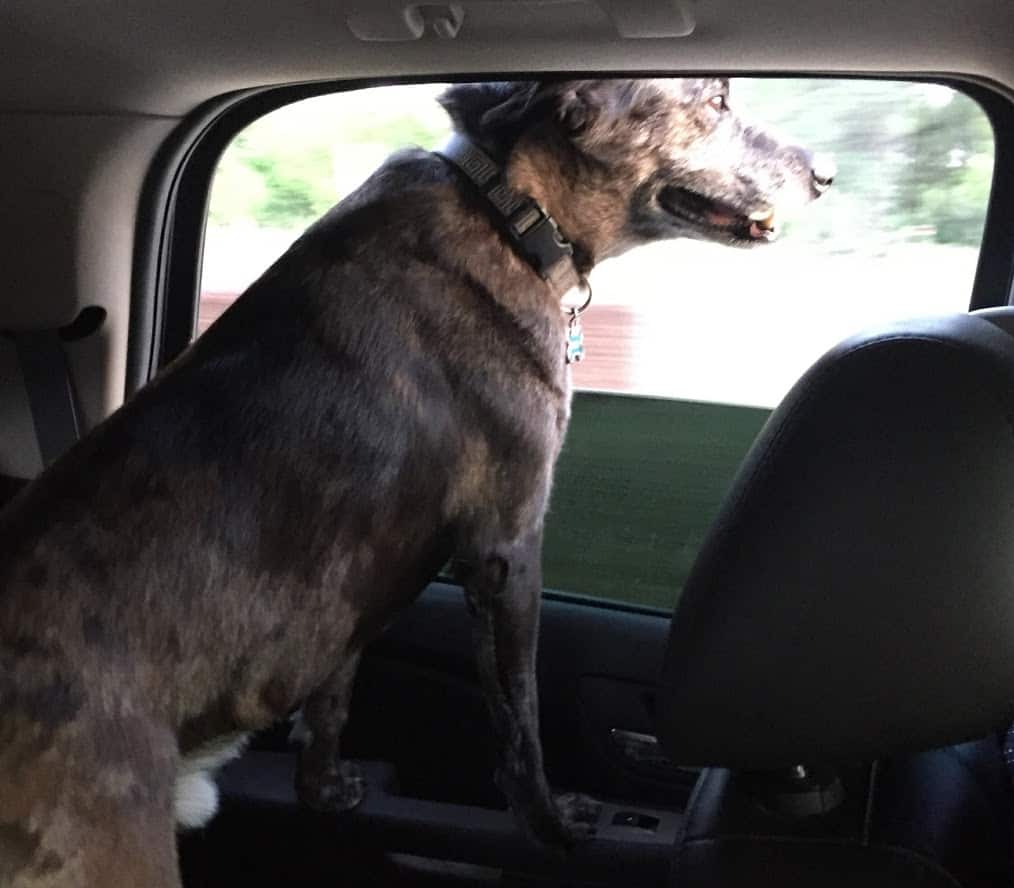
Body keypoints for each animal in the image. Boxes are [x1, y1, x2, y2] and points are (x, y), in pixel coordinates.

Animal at [0, 79, 831, 883]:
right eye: (717, 101)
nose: (823, 173)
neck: (509, 208)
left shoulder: (347, 599)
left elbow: (332, 702)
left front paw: (325, 791)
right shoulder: (506, 548)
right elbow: (519, 717)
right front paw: (551, 825)